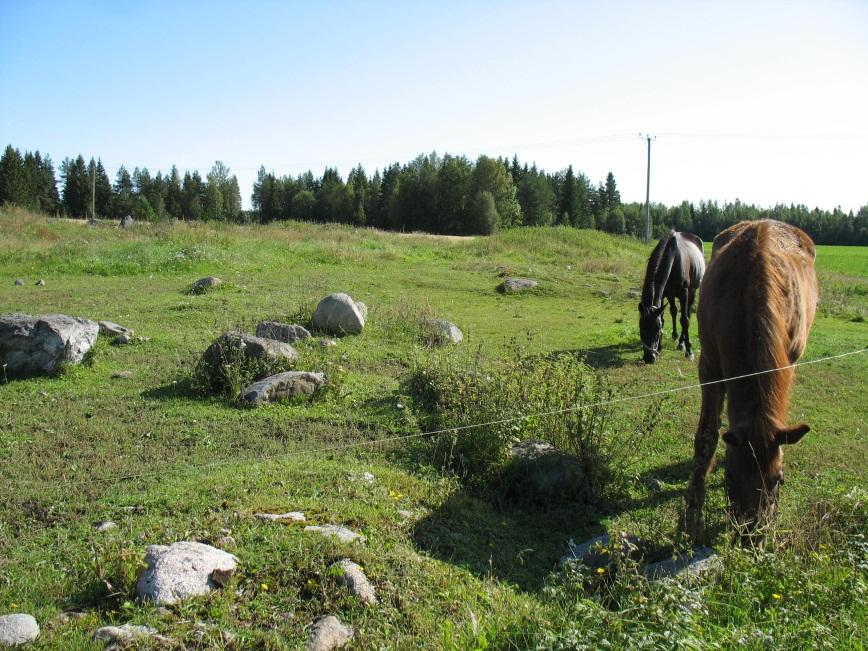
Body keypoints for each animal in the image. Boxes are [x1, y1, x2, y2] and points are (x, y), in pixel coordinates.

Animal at [636, 229, 704, 364]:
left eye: (657, 329)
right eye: (641, 327)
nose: (649, 358)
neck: (674, 257)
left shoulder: (684, 293)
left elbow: (684, 320)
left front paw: (689, 351)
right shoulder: (663, 295)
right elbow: (663, 318)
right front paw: (660, 347)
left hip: (692, 291)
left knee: (687, 314)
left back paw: (682, 343)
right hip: (671, 295)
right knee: (673, 311)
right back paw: (675, 335)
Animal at [680, 222, 816, 544]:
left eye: (778, 480)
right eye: (731, 477)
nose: (750, 537)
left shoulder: (789, 361)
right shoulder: (710, 367)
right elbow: (706, 437)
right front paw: (692, 513)